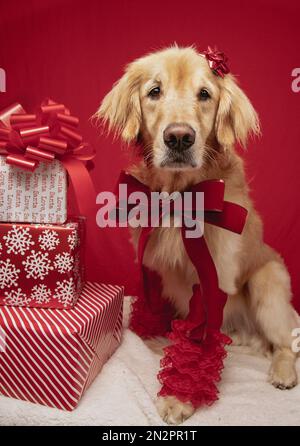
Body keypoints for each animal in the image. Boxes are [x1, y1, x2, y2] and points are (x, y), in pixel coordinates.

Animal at [97, 46, 298, 426]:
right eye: (154, 91)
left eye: (204, 94)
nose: (179, 137)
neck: (179, 196)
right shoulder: (153, 266)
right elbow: (154, 305)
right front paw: (151, 335)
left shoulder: (209, 280)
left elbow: (194, 343)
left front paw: (179, 395)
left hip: (267, 285)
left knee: (286, 342)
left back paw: (282, 372)